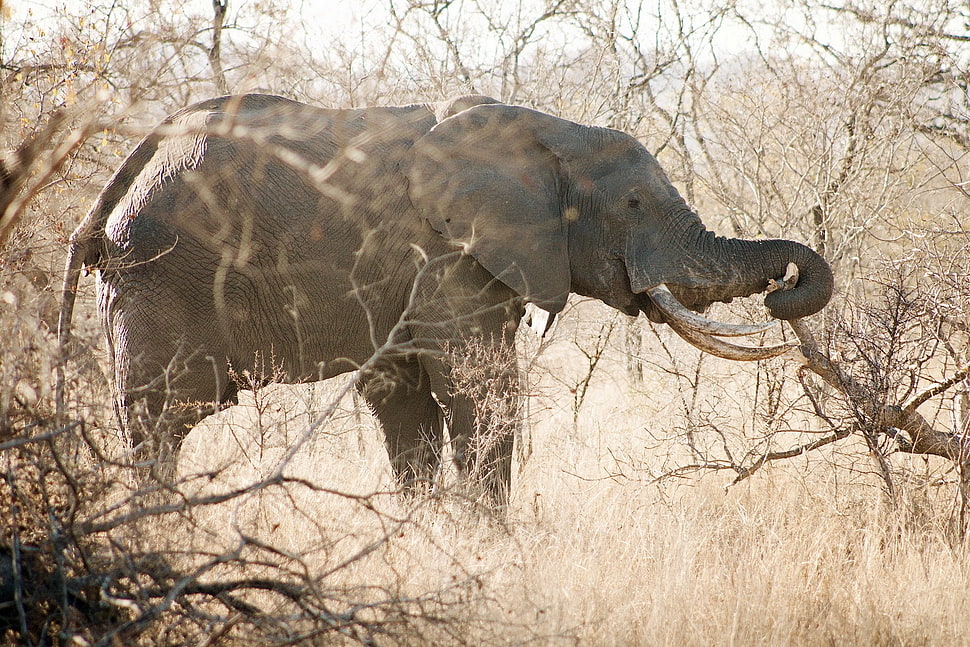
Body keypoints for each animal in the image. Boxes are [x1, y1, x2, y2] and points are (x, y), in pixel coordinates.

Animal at [59, 93, 833, 503]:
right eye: (635, 204)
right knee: (163, 415)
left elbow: (406, 404)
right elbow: (476, 390)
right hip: (165, 272)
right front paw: (495, 547)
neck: (548, 133)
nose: (784, 289)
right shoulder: (447, 259)